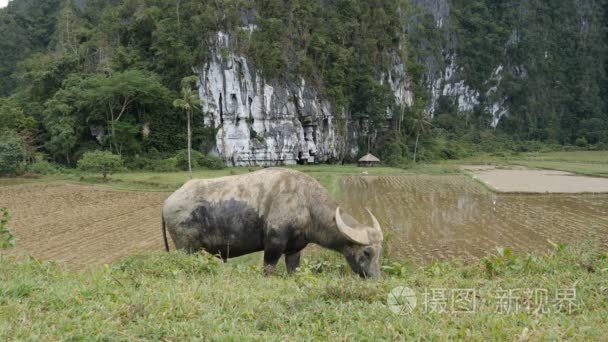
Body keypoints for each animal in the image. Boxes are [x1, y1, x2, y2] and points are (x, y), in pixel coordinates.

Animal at [159, 168, 382, 278]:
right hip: (186, 248)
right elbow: (268, 269)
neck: (306, 203)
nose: (375, 278)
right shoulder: (274, 244)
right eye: (366, 252)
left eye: (379, 253)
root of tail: (167, 202)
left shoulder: (294, 250)